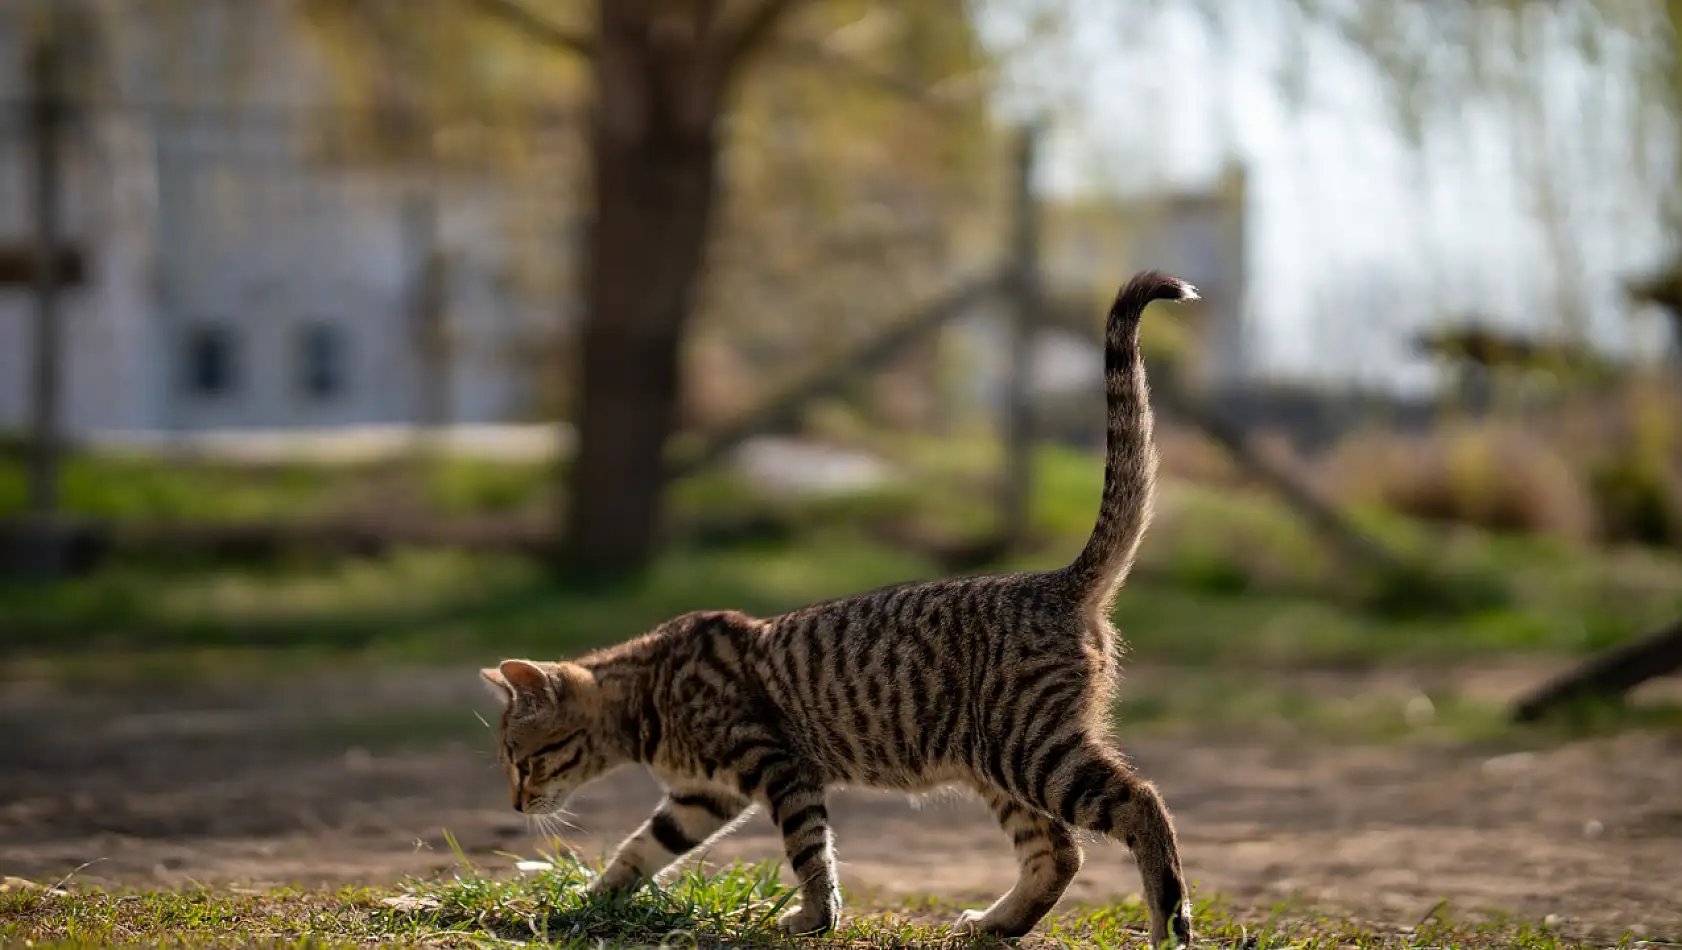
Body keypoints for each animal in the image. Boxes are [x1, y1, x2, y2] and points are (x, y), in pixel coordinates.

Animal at [481, 270, 1204, 941]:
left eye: (522, 759)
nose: (515, 805)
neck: (649, 696)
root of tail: (1059, 580)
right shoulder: (699, 799)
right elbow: (638, 851)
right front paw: (585, 903)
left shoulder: (779, 767)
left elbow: (809, 853)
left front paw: (813, 919)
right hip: (999, 766)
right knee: (1059, 853)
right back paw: (996, 924)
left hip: (1032, 750)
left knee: (1142, 804)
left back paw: (1170, 924)